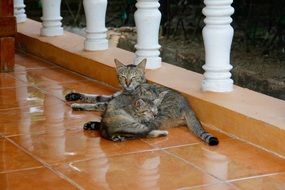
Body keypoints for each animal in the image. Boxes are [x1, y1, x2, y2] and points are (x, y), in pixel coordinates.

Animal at [65, 58, 219, 145]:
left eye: (133, 77)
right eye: (123, 76)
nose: (127, 83)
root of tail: (188, 106)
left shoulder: (114, 102)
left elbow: (97, 103)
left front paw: (78, 104)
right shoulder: (113, 97)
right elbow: (96, 96)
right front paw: (74, 96)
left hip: (155, 117)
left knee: (142, 129)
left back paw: (95, 125)